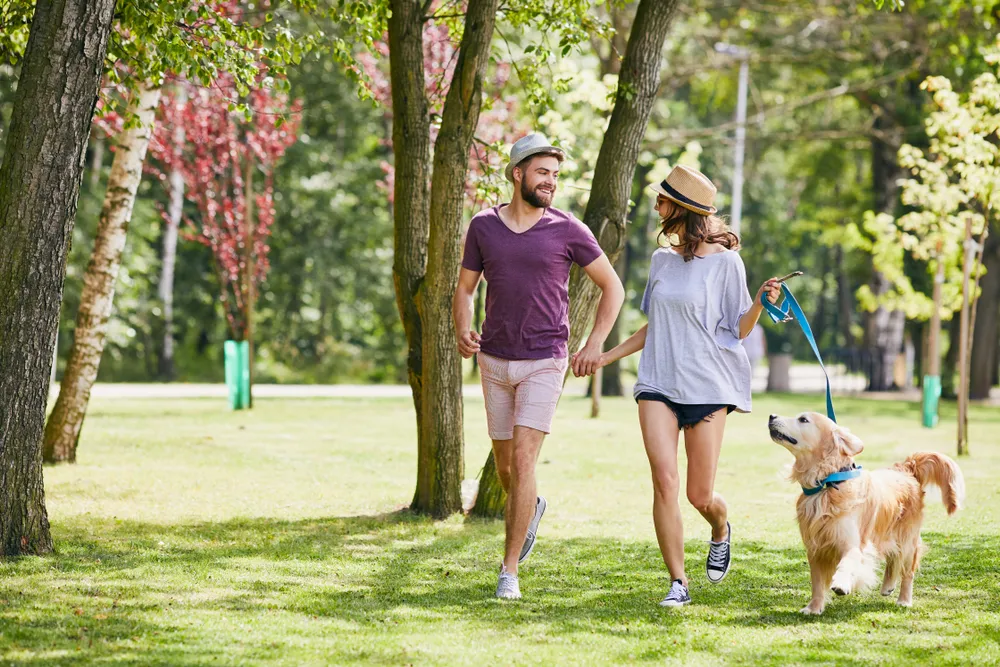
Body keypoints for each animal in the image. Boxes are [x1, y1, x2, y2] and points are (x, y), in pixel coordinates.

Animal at [764, 412, 960, 616]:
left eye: (803, 419)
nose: (772, 415)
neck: (828, 483)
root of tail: (906, 468)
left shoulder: (852, 543)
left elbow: (848, 562)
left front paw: (841, 583)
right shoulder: (815, 549)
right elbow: (817, 583)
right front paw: (814, 607)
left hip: (907, 539)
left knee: (907, 571)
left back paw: (904, 600)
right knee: (892, 558)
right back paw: (887, 586)